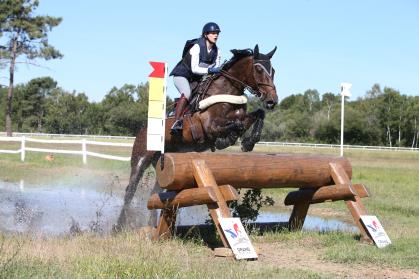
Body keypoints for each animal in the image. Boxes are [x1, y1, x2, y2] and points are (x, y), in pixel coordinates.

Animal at [115, 44, 278, 231]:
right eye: (258, 69)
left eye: (273, 70)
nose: (272, 101)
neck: (228, 90)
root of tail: (143, 128)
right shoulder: (208, 126)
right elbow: (235, 126)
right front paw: (226, 140)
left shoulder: (242, 117)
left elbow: (257, 115)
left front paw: (248, 142)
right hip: (141, 159)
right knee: (130, 191)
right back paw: (117, 227)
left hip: (164, 163)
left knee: (155, 192)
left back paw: (152, 225)